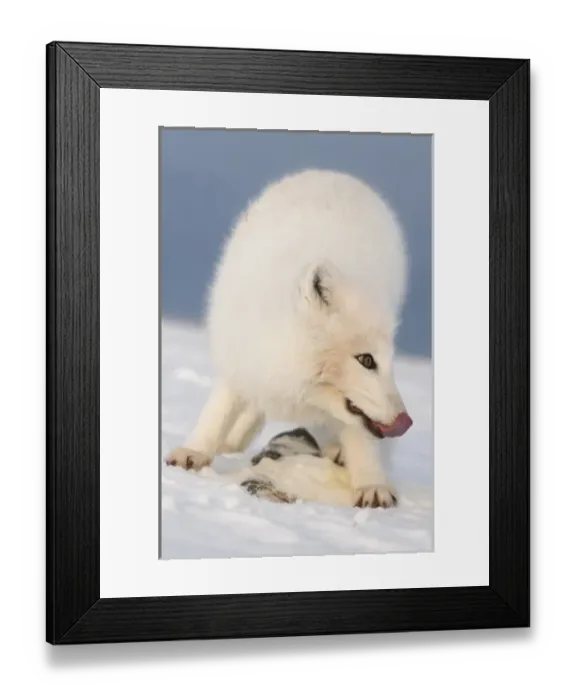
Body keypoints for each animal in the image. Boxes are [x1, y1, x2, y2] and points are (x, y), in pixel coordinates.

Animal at [164, 168, 413, 508]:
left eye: (388, 360)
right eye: (366, 360)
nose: (406, 421)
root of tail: (331, 172)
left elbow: (360, 435)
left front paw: (373, 485)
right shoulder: (241, 355)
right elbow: (219, 410)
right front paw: (193, 452)